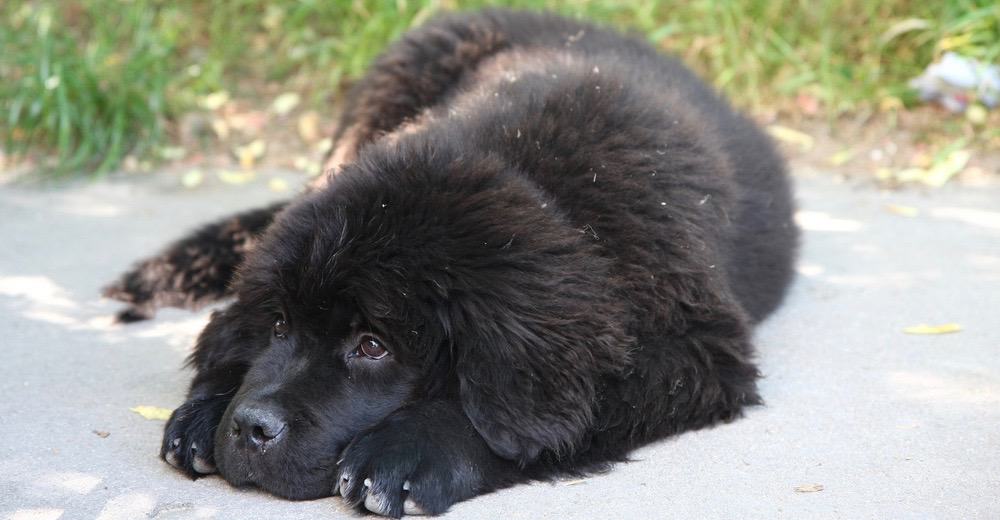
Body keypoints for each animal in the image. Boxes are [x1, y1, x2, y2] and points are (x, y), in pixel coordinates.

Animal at [105, 9, 796, 520]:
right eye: (278, 326)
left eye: (373, 346)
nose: (249, 427)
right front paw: (208, 407)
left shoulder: (693, 351)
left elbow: (550, 415)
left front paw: (411, 452)